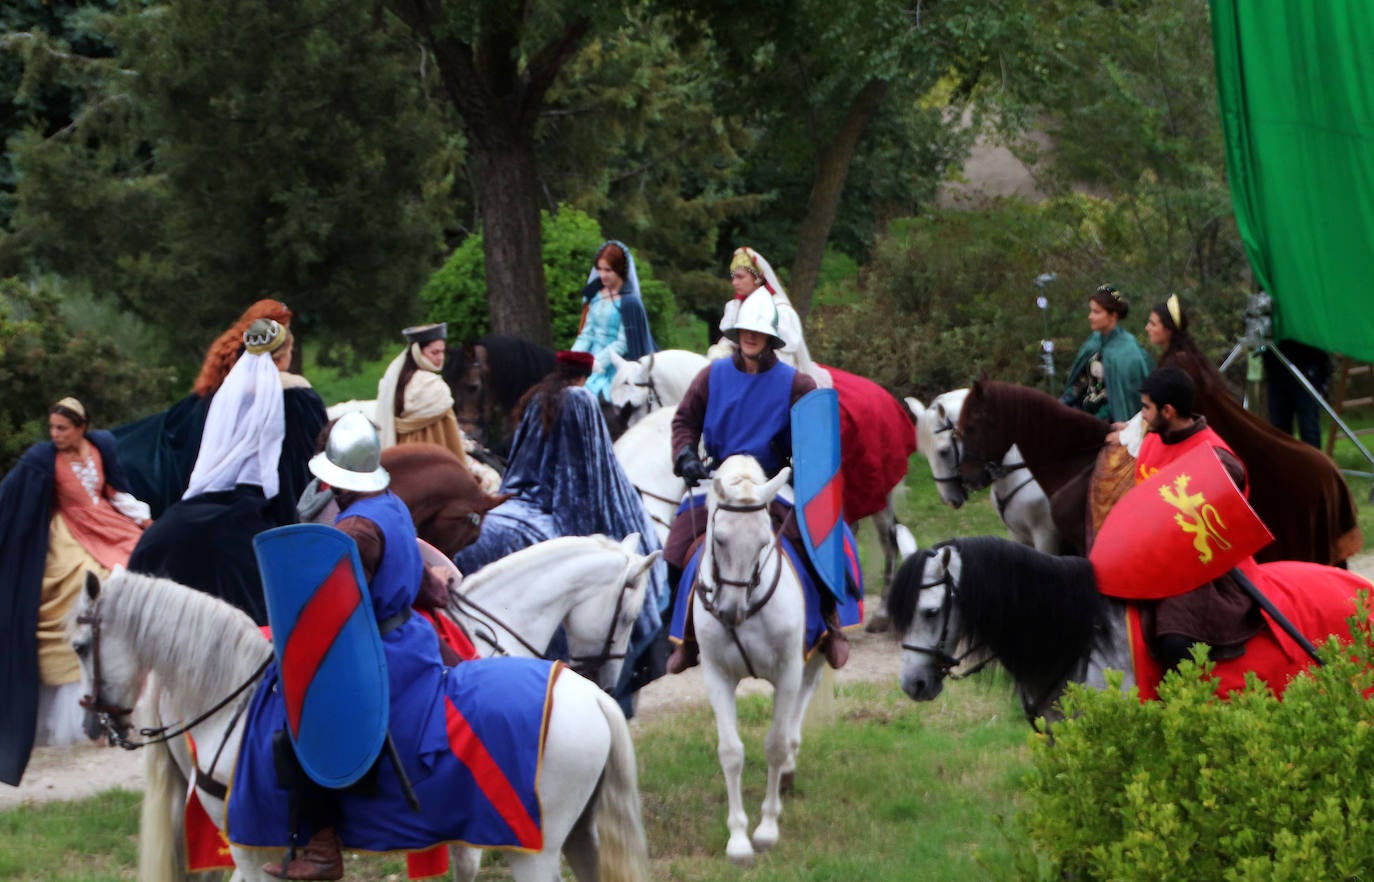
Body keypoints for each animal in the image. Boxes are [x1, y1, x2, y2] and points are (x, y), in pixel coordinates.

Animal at [692, 456, 818, 862]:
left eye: (764, 542)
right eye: (719, 539)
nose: (731, 612)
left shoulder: (789, 670)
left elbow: (775, 746)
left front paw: (766, 830)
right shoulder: (716, 674)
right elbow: (731, 752)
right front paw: (738, 839)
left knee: (804, 697)